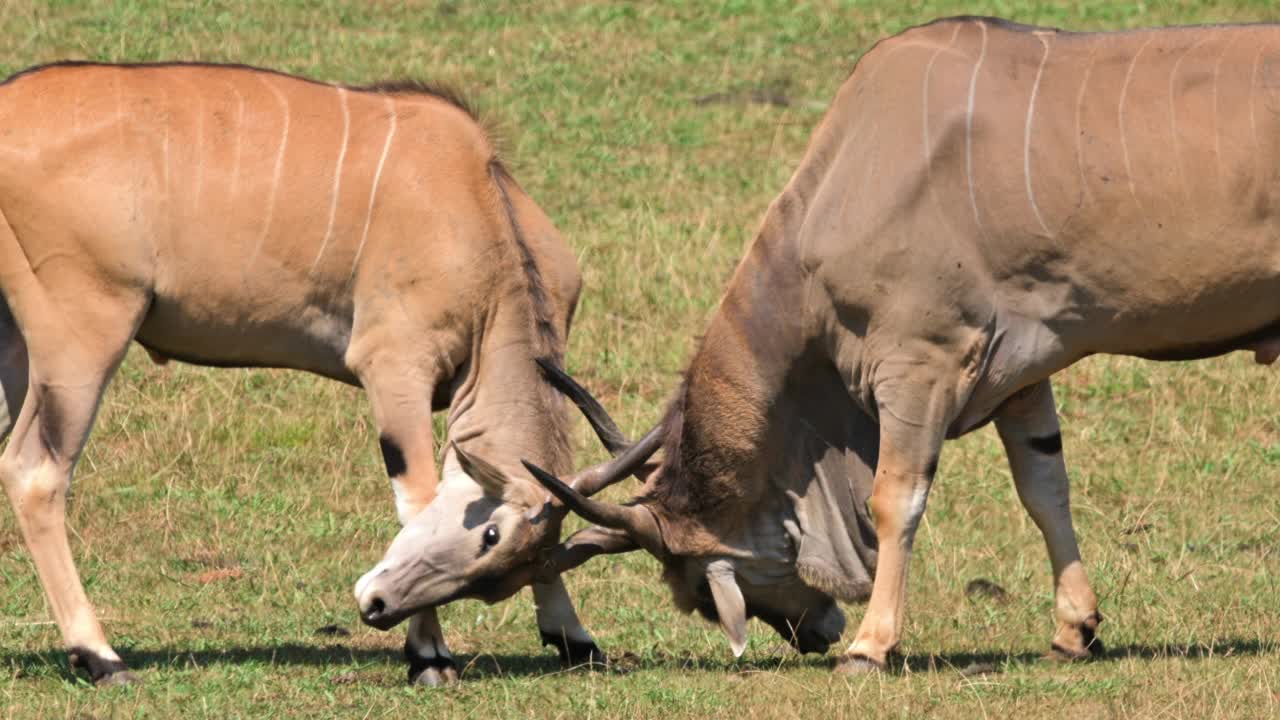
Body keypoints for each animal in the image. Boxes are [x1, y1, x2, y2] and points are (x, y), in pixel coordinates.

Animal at [0, 61, 614, 681]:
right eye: (489, 534)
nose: (375, 607)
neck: (480, 204)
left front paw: (574, 636)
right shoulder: (395, 369)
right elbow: (415, 499)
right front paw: (428, 655)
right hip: (82, 338)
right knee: (36, 472)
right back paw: (99, 654)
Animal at [522, 15, 1280, 666]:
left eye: (703, 596)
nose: (816, 634)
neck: (849, 180)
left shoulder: (922, 365)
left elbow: (896, 500)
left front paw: (871, 646)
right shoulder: (1022, 375)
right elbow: (1045, 488)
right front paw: (1075, 629)